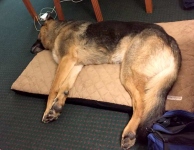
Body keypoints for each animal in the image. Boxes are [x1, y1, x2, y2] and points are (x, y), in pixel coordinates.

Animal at [31, 17, 181, 149]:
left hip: (127, 73)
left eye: (38, 36)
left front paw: (47, 110)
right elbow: (64, 88)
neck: (60, 29)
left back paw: (129, 132)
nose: (31, 49)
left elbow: (53, 88)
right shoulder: (75, 65)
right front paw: (56, 107)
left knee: (141, 105)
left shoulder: (66, 60)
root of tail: (169, 38)